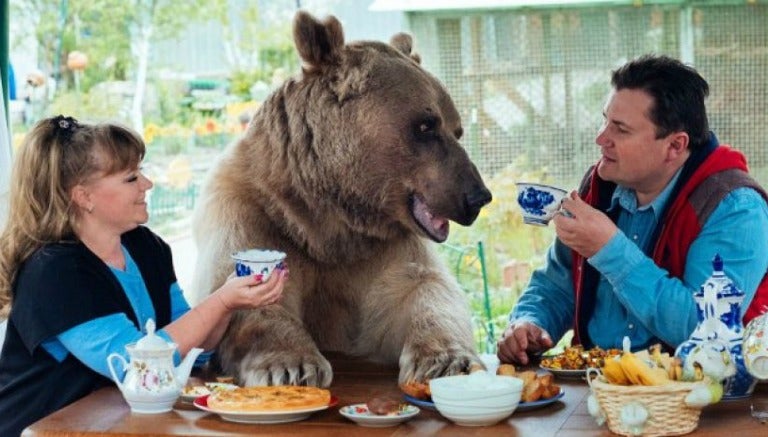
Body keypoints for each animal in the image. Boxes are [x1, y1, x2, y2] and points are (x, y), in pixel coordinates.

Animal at [192, 10, 492, 386]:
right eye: (426, 125)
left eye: (457, 129)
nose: (478, 196)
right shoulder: (252, 212)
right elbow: (246, 293)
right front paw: (291, 366)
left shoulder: (381, 248)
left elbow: (422, 290)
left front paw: (447, 360)